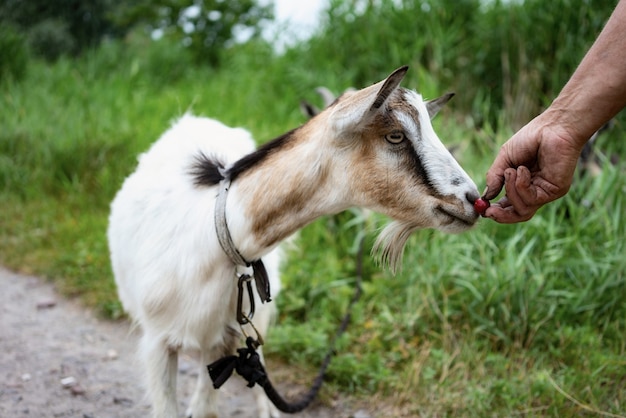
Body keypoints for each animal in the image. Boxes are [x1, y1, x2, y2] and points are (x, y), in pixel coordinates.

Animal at [106, 66, 478, 418]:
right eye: (396, 136)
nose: (473, 199)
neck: (219, 233)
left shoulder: (225, 336)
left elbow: (207, 407)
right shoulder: (157, 341)